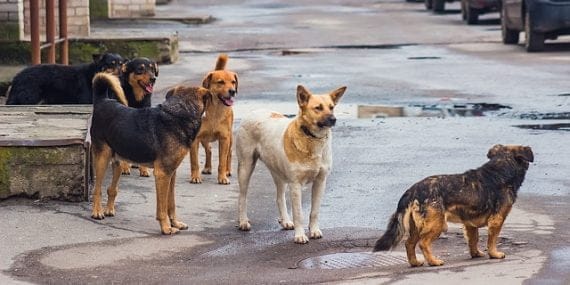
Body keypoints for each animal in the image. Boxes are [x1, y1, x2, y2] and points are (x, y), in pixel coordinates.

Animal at [90, 72, 210, 234]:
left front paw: (175, 223)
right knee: (97, 189)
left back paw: (109, 209)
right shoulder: (162, 174)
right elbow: (162, 208)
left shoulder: (171, 173)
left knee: (111, 188)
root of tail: (102, 101)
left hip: (118, 162)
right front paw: (166, 227)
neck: (179, 113)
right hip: (102, 158)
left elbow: (171, 204)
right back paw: (97, 212)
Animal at [190, 53, 236, 184]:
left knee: (229, 154)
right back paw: (207, 167)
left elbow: (222, 161)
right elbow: (194, 162)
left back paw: (227, 170)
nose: (233, 91)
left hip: (230, 138)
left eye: (233, 82)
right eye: (220, 82)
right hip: (204, 139)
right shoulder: (195, 139)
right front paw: (195, 177)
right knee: (209, 149)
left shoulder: (224, 139)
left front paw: (222, 177)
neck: (215, 111)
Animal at [234, 84, 346, 242]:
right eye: (318, 108)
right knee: (242, 197)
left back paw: (285, 221)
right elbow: (298, 214)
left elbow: (315, 211)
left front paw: (314, 230)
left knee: (279, 197)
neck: (311, 138)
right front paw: (300, 235)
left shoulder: (320, 182)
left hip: (278, 173)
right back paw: (243, 221)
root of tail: (254, 111)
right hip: (246, 167)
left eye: (331, 107)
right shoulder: (296, 185)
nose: (333, 119)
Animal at [372, 144, 532, 266]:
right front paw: (494, 254)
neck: (500, 169)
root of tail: (412, 190)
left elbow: (473, 240)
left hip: (417, 226)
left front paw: (476, 254)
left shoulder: (470, 223)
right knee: (423, 243)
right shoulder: (497, 220)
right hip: (437, 224)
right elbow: (491, 241)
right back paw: (434, 261)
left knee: (409, 244)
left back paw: (415, 263)